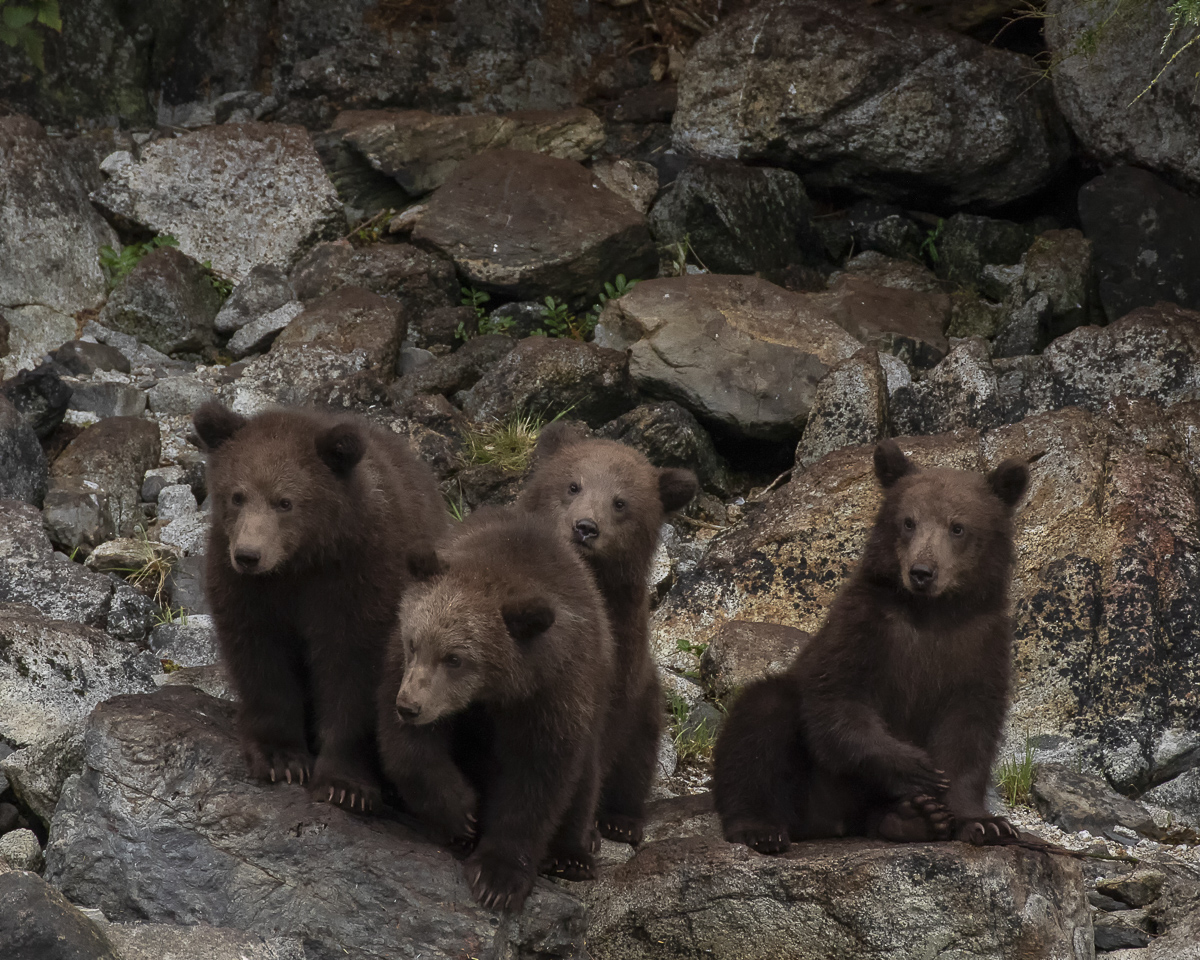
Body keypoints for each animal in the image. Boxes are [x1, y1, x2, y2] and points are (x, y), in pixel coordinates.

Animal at [193, 401, 447, 812]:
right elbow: (259, 657)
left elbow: (353, 670)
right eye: (237, 495)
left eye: (285, 501)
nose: (249, 555)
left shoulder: (357, 581)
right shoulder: (245, 587)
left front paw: (346, 785)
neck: (301, 561)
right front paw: (280, 758)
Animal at [376, 506, 615, 912]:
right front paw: (461, 813)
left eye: (455, 658)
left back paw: (574, 854)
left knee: (586, 776)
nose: (409, 707)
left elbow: (535, 780)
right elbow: (410, 750)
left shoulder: (551, 695)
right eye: (413, 642)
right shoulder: (402, 670)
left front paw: (498, 877)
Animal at [518, 422, 698, 846]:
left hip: (648, 705)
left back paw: (621, 819)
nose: (585, 527)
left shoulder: (621, 651)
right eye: (573, 485)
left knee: (638, 758)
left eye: (620, 502)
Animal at [713, 439, 1029, 853]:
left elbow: (970, 730)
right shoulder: (865, 628)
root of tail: (833, 822)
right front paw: (916, 766)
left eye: (958, 526)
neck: (933, 613)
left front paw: (985, 823)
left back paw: (912, 819)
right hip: (809, 783)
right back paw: (759, 827)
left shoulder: (981, 644)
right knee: (761, 718)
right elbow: (840, 702)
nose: (922, 572)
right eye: (908, 521)